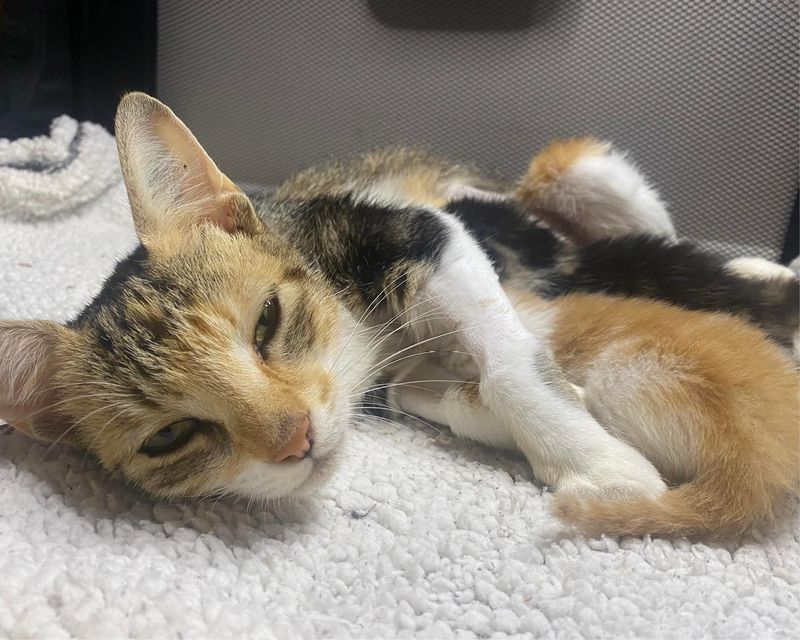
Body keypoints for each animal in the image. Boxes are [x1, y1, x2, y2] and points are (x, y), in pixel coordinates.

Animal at [0, 92, 796, 536]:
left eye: (267, 321)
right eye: (168, 436)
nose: (293, 438)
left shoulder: (419, 233)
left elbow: (508, 364)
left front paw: (601, 467)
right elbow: (451, 393)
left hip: (579, 173)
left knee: (651, 232)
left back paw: (763, 268)